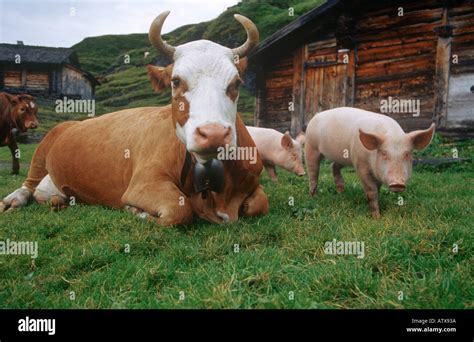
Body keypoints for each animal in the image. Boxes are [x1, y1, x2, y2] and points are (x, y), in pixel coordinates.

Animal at [0, 11, 268, 224]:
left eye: (236, 82)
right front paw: (136, 211)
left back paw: (57, 199)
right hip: (44, 147)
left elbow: (260, 204)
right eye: (176, 81)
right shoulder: (144, 182)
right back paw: (13, 200)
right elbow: (177, 210)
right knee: (29, 183)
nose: (213, 134)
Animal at [306, 107, 436, 218]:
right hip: (311, 146)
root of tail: (315, 116)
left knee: (333, 166)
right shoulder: (360, 165)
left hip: (343, 156)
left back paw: (341, 192)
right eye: (384, 153)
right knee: (313, 171)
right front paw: (376, 218)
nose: (398, 183)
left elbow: (377, 190)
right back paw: (314, 197)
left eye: (407, 154)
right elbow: (371, 191)